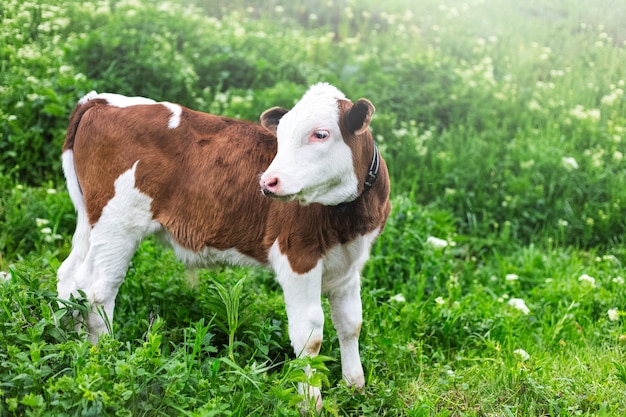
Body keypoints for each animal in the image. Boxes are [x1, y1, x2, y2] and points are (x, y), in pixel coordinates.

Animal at [59, 83, 390, 408]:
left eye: (321, 134)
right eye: (280, 136)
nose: (268, 181)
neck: (347, 219)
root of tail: (99, 100)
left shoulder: (350, 264)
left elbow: (351, 323)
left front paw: (356, 389)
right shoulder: (297, 255)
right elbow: (310, 335)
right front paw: (311, 402)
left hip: (90, 222)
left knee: (71, 278)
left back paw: (70, 343)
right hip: (117, 222)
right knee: (99, 291)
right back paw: (105, 357)